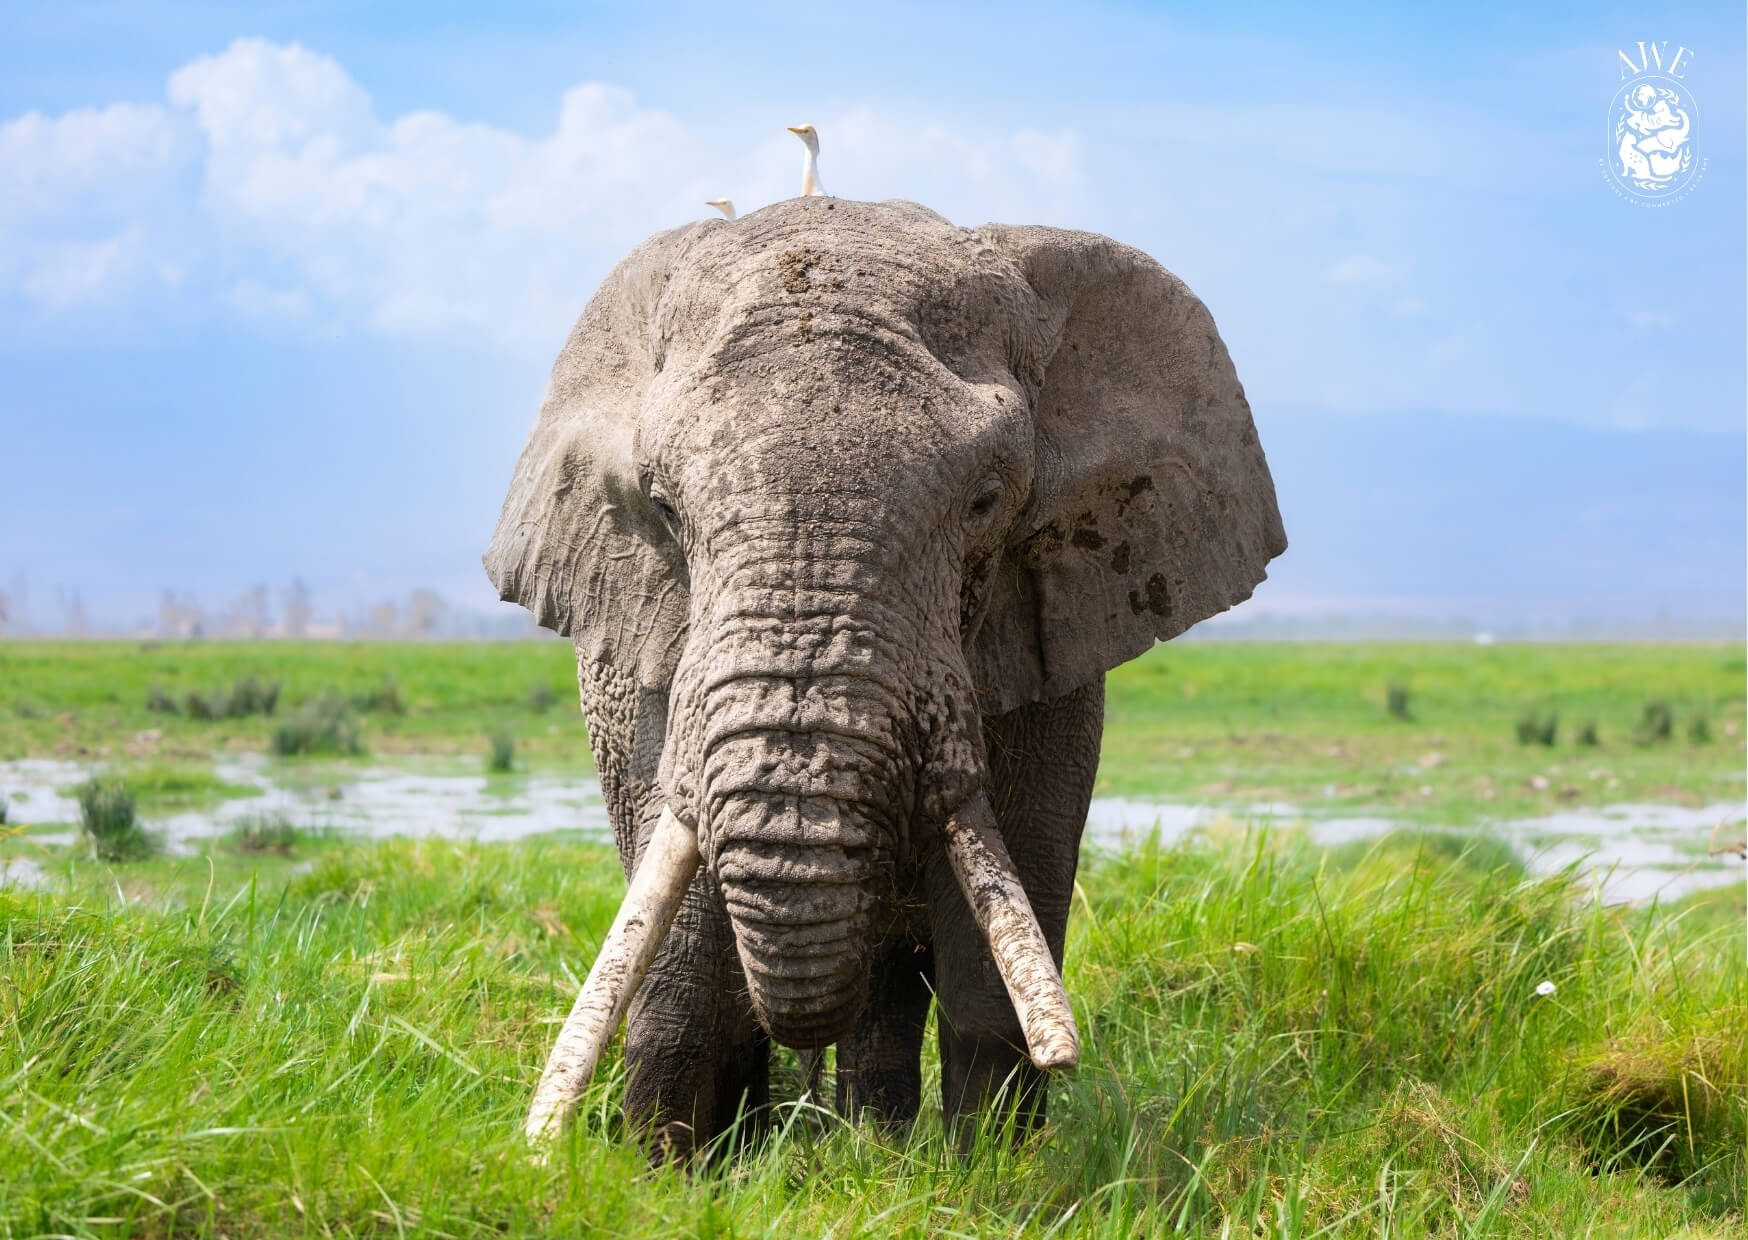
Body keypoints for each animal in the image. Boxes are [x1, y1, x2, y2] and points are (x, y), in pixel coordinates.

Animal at [485, 196, 1285, 1159]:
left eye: (986, 501)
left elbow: (1003, 920)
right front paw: (660, 1174)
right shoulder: (662, 662)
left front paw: (997, 1175)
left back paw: (877, 1146)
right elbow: (681, 927)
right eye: (664, 508)